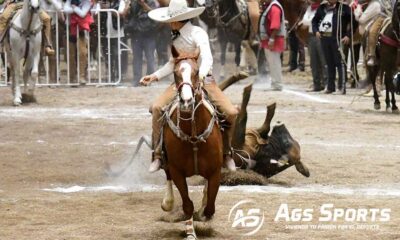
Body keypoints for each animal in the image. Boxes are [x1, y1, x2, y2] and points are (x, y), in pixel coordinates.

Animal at [162, 46, 225, 239]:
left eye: (196, 72)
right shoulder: (177, 171)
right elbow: (187, 204)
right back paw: (168, 202)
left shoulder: (215, 171)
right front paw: (190, 231)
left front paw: (204, 214)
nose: (187, 101)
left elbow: (210, 204)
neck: (194, 136)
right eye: (175, 73)